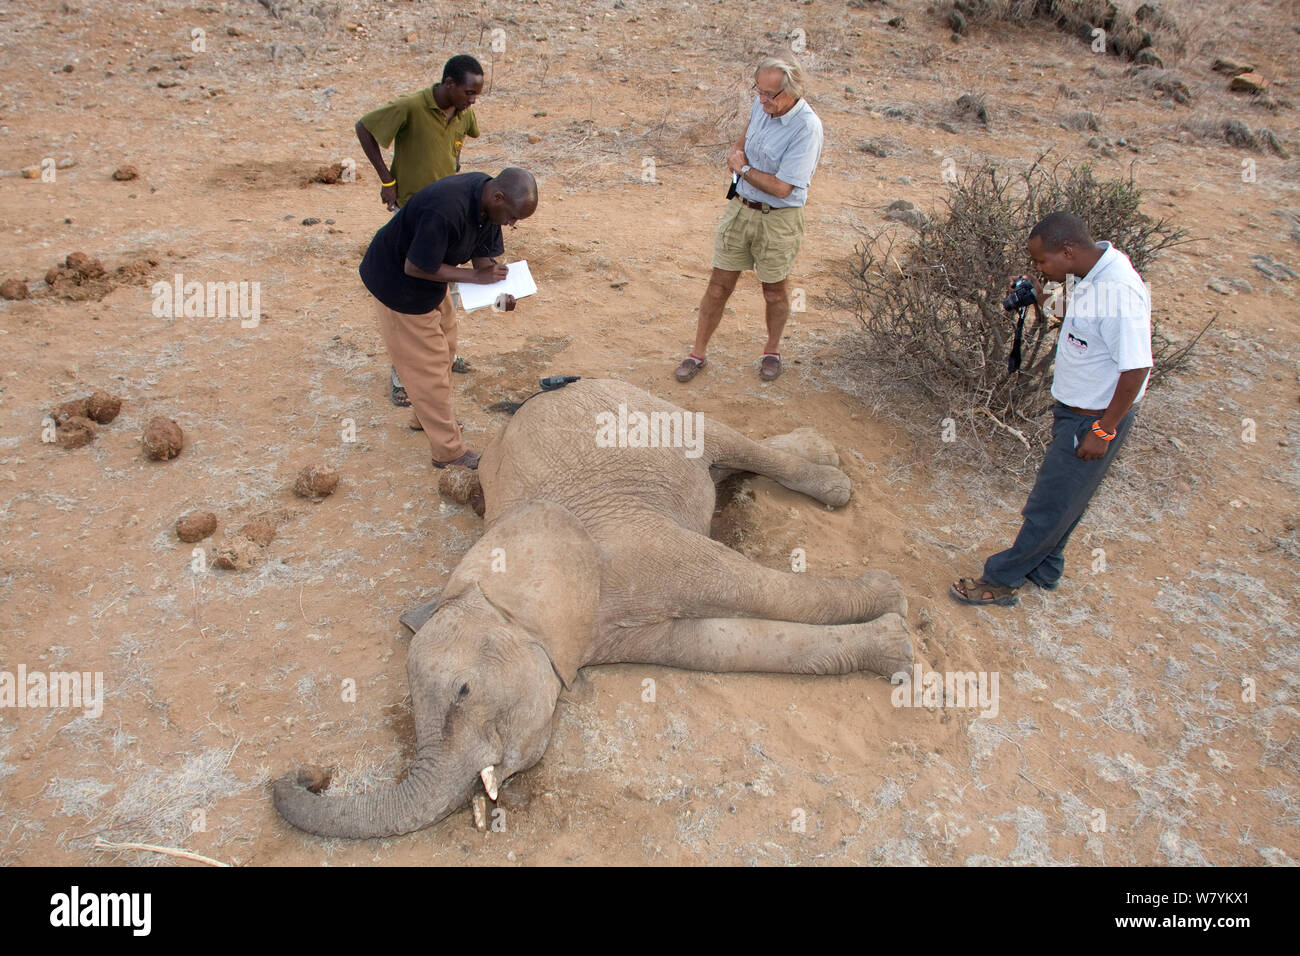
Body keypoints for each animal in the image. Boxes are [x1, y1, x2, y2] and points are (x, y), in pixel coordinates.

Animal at [273, 378, 912, 839]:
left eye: (464, 692)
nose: (303, 775)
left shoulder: (636, 550)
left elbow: (750, 587)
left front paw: (892, 601)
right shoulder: (605, 632)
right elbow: (714, 645)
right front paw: (893, 643)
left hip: (641, 403)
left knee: (722, 441)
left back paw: (831, 482)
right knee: (722, 466)